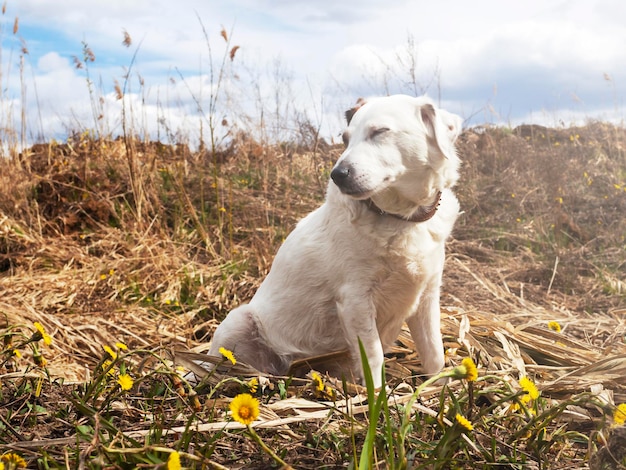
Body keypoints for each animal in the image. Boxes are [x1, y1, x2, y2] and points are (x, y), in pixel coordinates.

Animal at [202, 93, 460, 388]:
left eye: (379, 131)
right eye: (345, 139)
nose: (338, 175)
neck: (401, 219)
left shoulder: (427, 295)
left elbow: (434, 353)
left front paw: (439, 389)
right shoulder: (355, 300)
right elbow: (373, 358)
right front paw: (378, 397)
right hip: (237, 320)